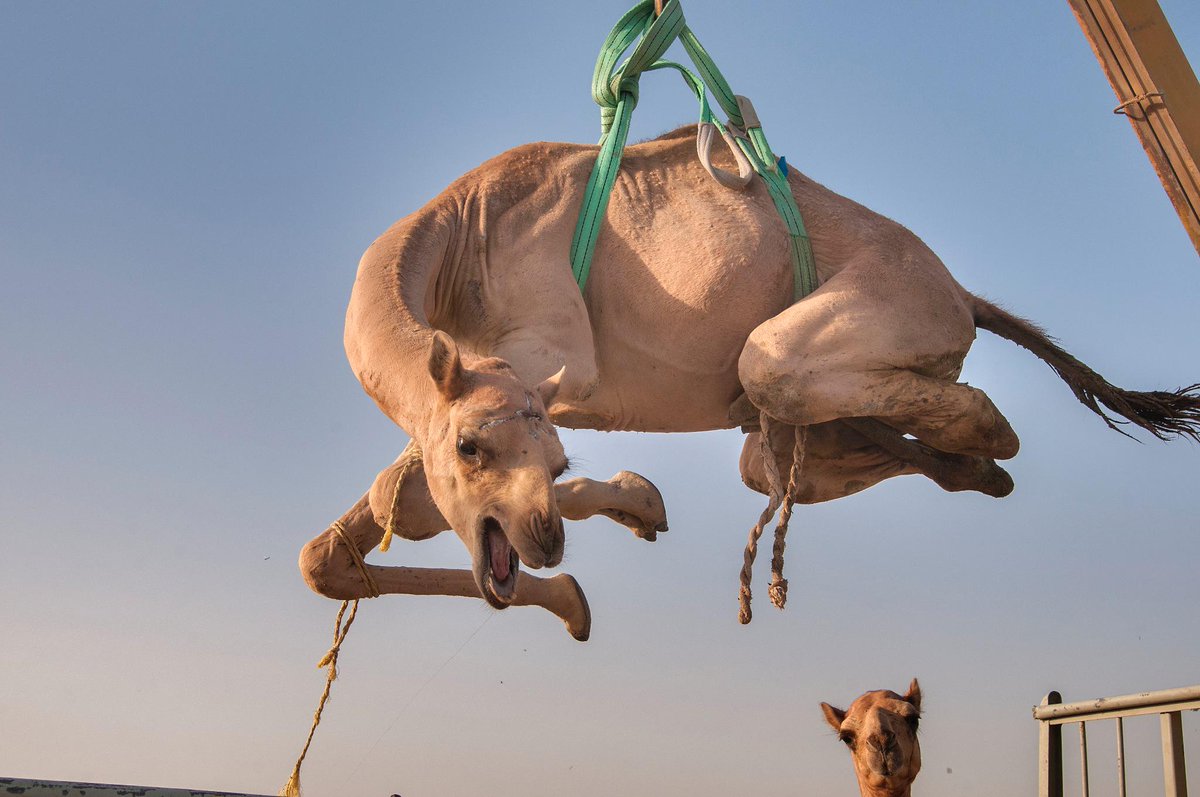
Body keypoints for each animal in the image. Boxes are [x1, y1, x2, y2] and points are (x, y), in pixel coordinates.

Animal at [299, 124, 1200, 639]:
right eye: (472, 448)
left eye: (553, 465)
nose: (543, 537)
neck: (464, 234)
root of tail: (960, 291)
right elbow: (338, 545)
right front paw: (604, 552)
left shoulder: (553, 358)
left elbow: (398, 494)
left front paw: (626, 517)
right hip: (804, 420)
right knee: (795, 455)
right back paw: (970, 470)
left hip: (877, 314)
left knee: (938, 406)